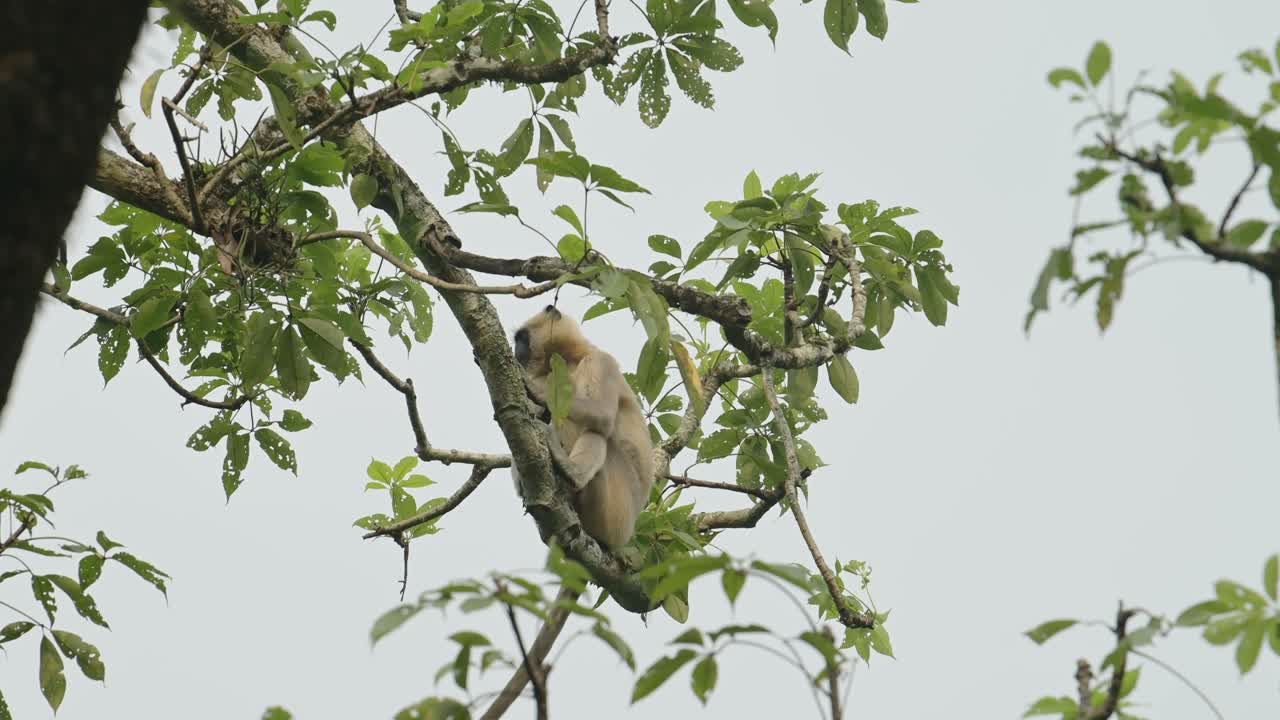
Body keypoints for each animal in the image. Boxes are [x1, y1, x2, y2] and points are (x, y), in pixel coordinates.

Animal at [510, 305, 654, 550]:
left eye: (522, 339)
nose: (516, 349)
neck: (571, 359)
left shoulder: (601, 361)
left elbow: (603, 416)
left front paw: (535, 390)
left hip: (616, 515)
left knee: (600, 432)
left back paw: (570, 472)